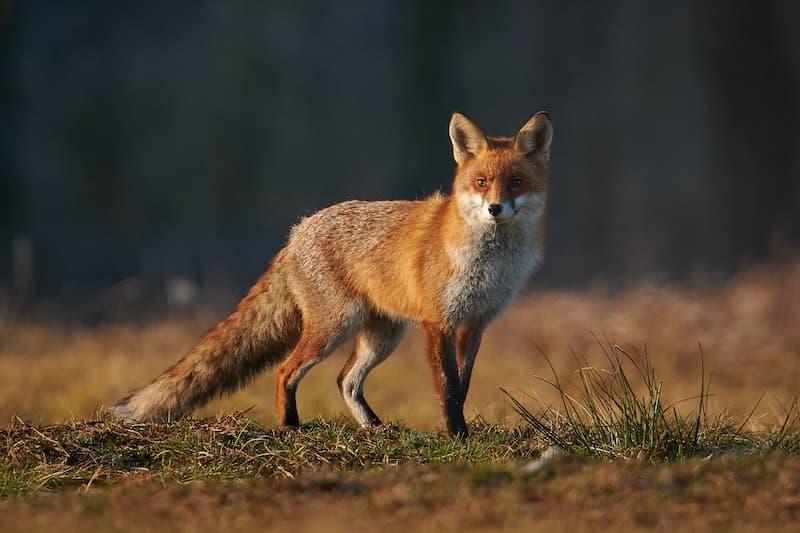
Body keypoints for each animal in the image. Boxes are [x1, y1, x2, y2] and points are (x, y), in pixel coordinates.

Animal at [110, 111, 553, 437]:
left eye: (515, 183)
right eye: (481, 182)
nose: (495, 208)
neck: (490, 264)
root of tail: (296, 231)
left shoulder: (475, 324)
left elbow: (462, 386)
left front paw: (460, 431)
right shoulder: (438, 322)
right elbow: (446, 387)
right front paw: (456, 435)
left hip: (381, 336)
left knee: (345, 380)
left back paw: (374, 428)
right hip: (333, 327)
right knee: (285, 372)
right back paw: (291, 428)